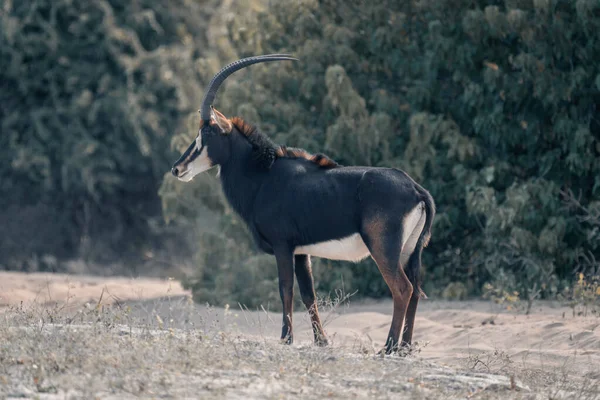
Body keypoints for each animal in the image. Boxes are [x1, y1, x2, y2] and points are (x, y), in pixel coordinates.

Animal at [171, 53, 434, 354]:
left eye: (207, 136)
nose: (177, 169)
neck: (263, 175)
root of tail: (416, 189)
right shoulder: (301, 252)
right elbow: (309, 294)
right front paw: (321, 341)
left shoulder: (282, 246)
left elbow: (286, 288)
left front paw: (286, 338)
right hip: (409, 251)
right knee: (415, 290)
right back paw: (405, 348)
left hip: (383, 248)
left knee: (402, 289)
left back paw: (388, 347)